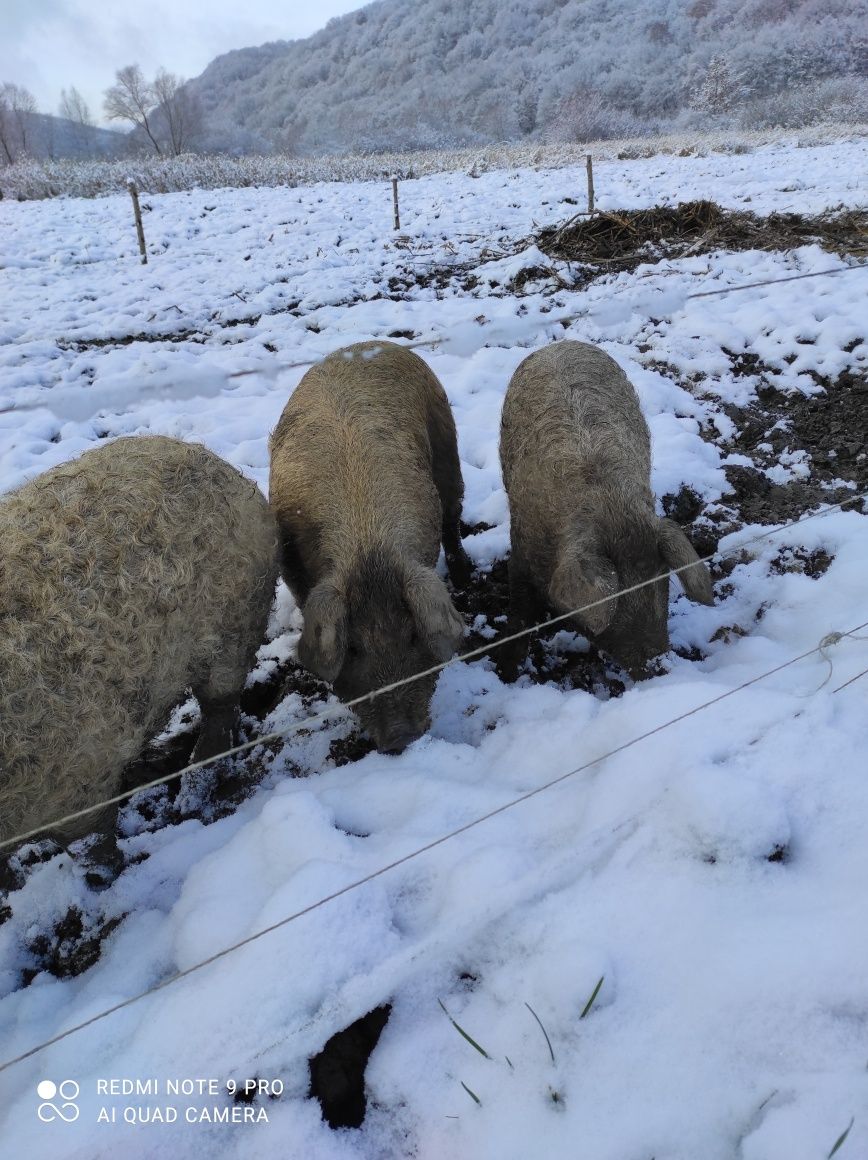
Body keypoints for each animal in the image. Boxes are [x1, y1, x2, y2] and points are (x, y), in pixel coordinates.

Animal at [0, 436, 278, 853]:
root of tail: (225, 467)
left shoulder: (81, 780)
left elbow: (95, 849)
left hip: (234, 627)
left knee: (220, 707)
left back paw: (192, 794)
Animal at [272, 338, 471, 751]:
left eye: (413, 636)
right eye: (352, 648)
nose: (400, 737)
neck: (367, 546)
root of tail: (370, 343)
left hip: (447, 444)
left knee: (452, 517)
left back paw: (464, 574)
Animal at [498, 338, 714, 677]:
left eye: (660, 577)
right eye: (619, 594)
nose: (657, 664)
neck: (610, 509)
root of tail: (561, 343)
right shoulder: (520, 551)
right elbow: (519, 611)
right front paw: (506, 670)